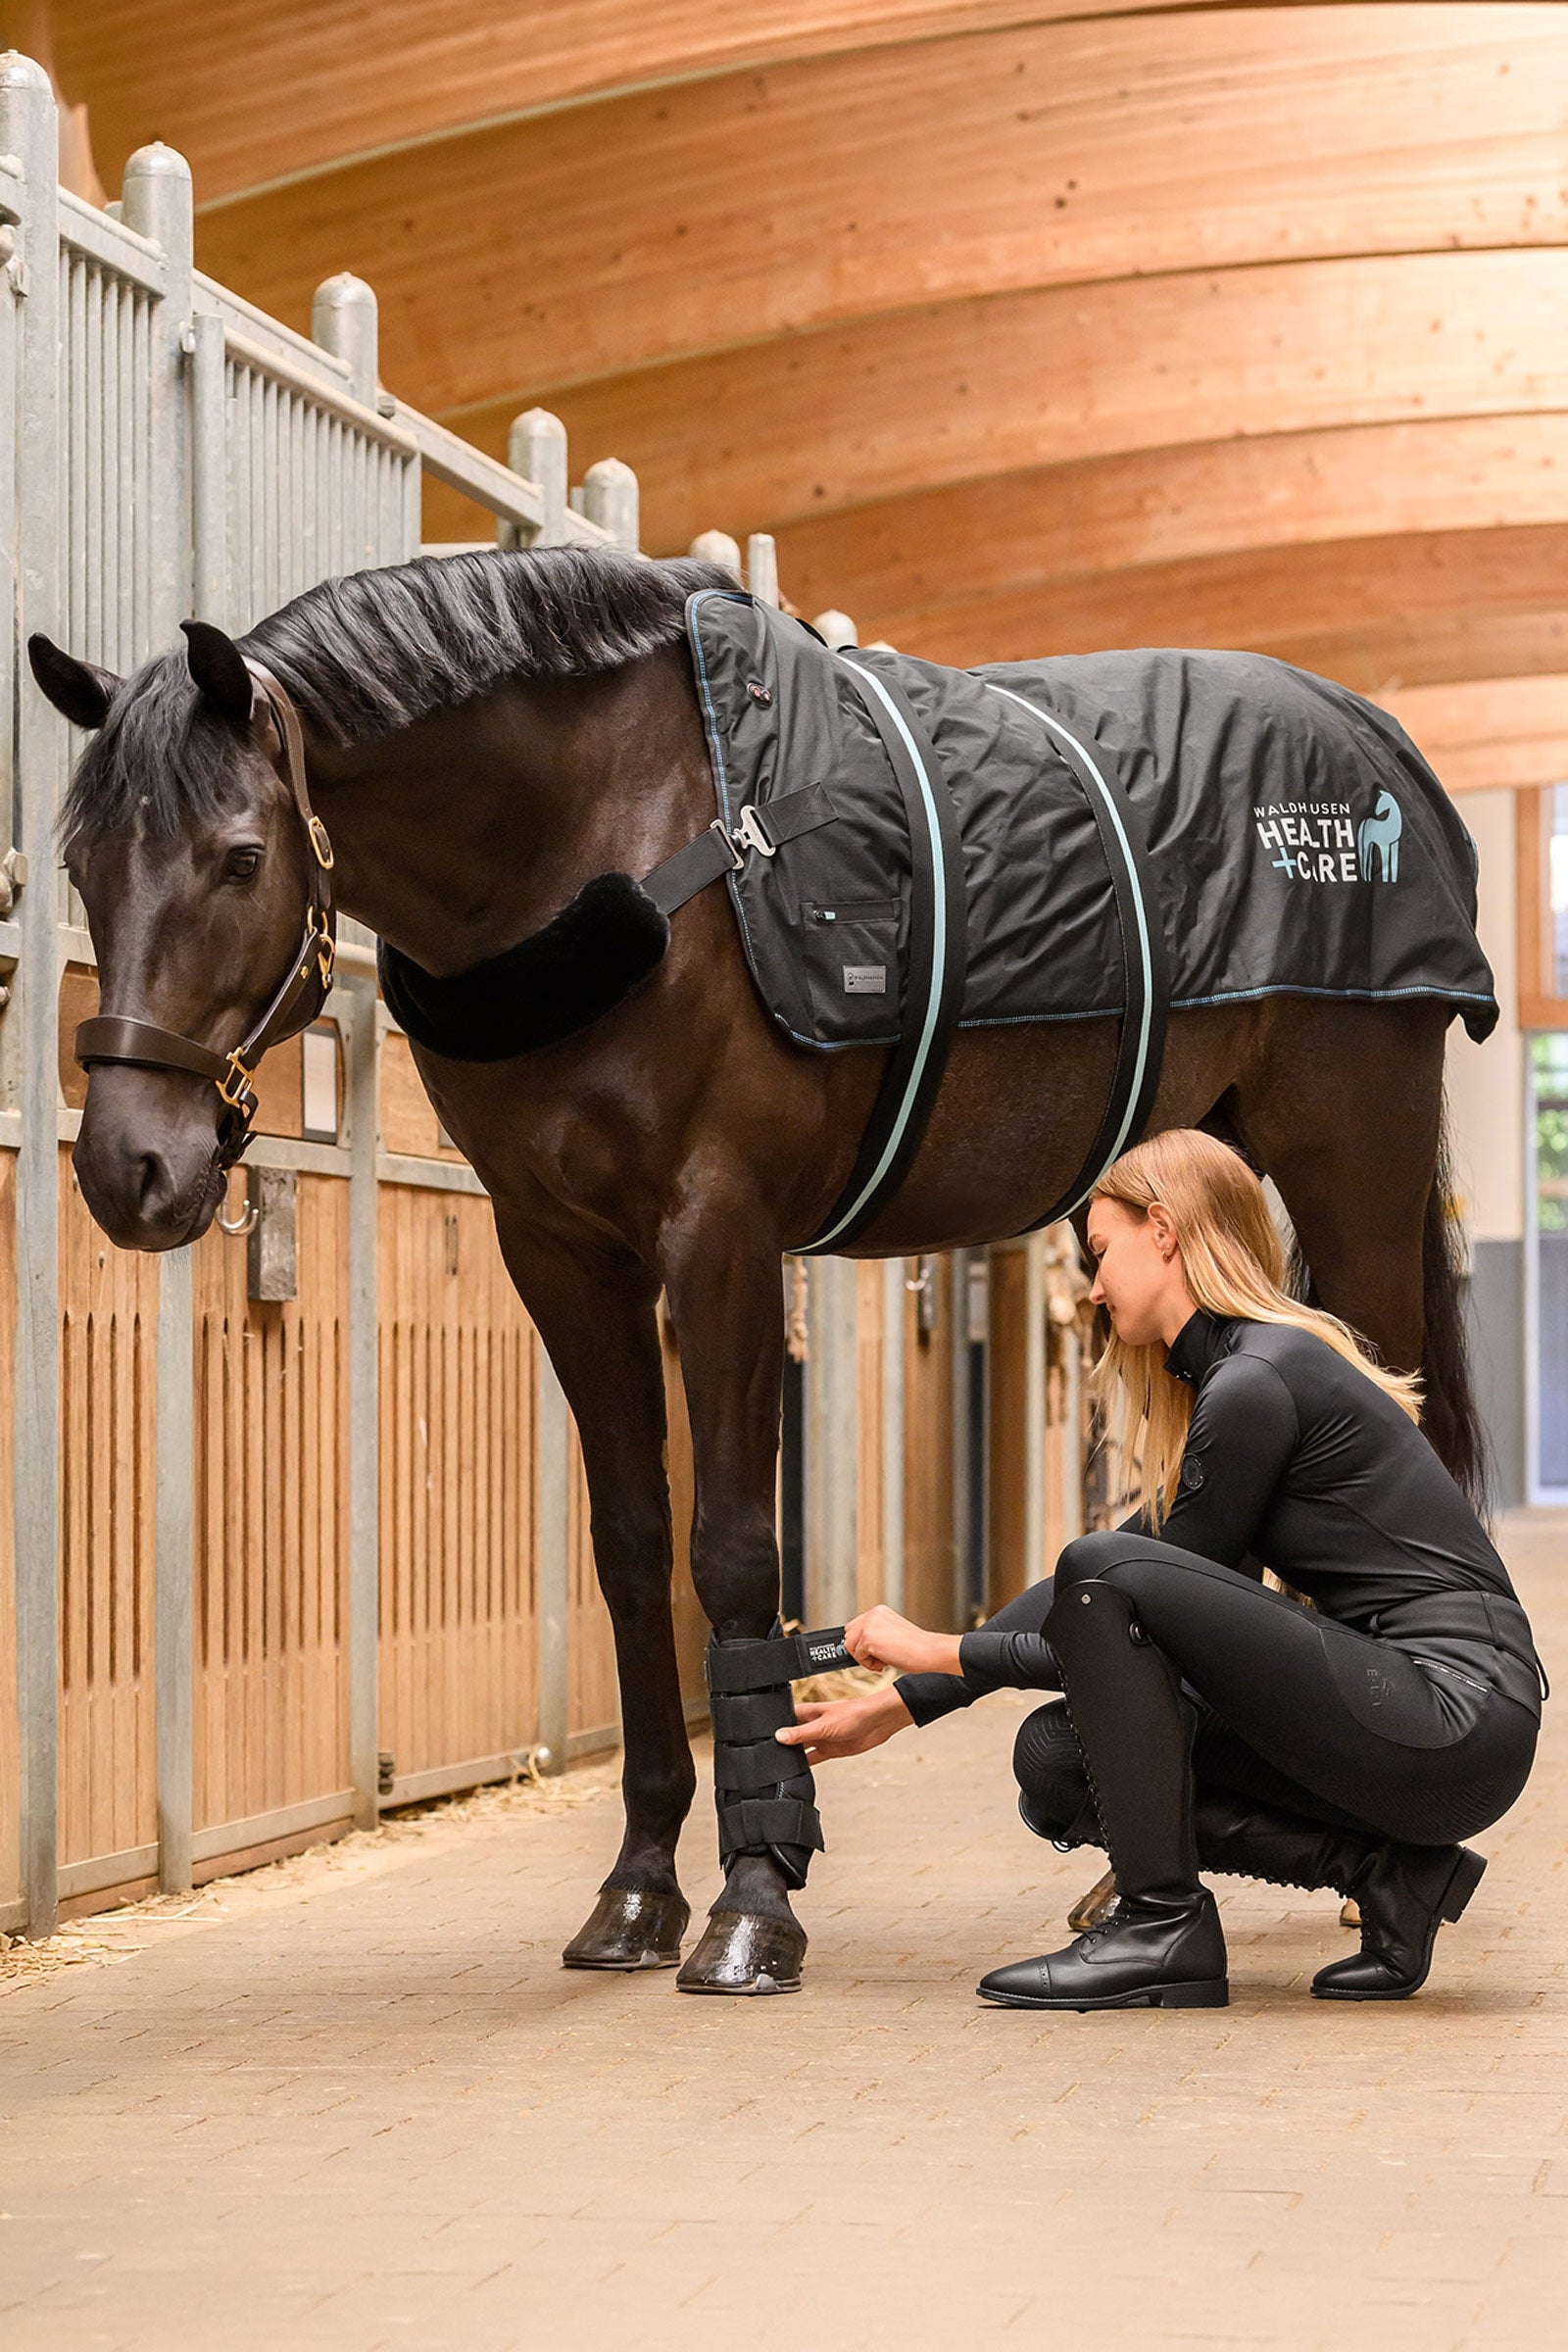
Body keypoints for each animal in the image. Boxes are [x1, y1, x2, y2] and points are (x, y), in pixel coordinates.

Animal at [29, 546, 1486, 1996]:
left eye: (239, 857)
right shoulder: (561, 1249)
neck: (611, 839)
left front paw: (752, 1899)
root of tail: (1371, 746)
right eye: (82, 864)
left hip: (1348, 1169)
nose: (127, 1167)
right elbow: (632, 1548)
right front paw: (635, 1891)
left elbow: (731, 1553)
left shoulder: (718, 1233)